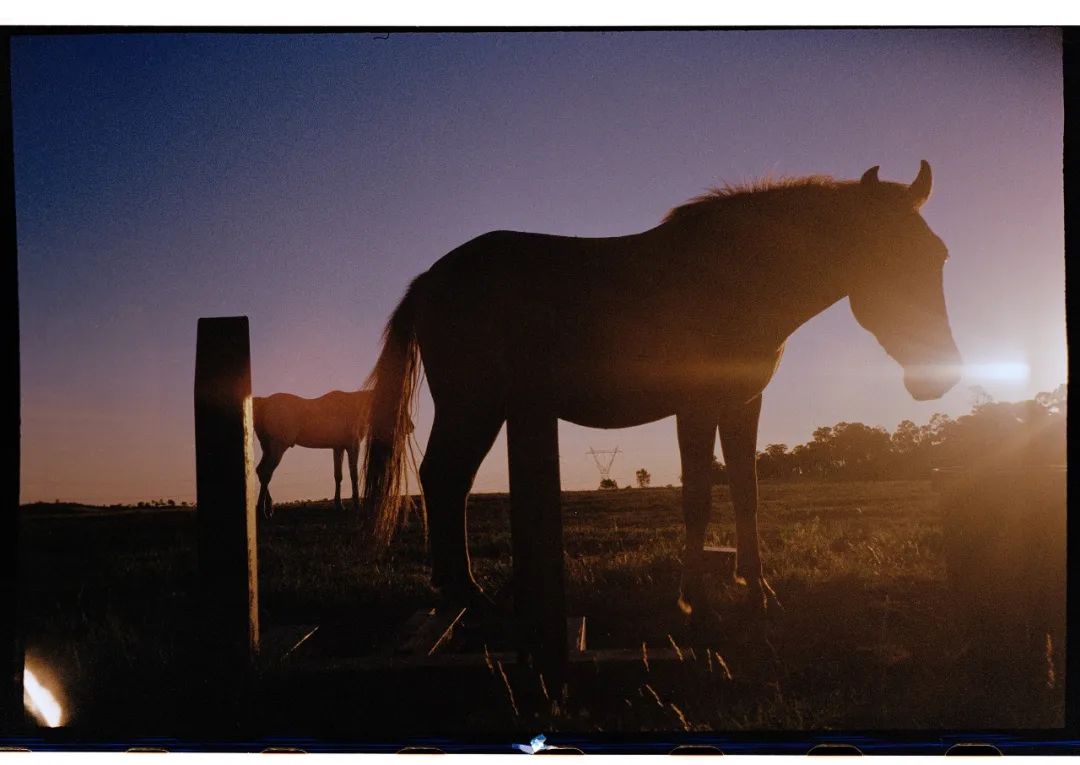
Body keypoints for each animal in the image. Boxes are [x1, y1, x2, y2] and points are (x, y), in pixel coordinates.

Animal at [362, 160, 963, 613]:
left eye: (938, 257)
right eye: (886, 258)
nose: (941, 376)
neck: (736, 277)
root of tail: (430, 279)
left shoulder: (743, 404)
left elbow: (746, 493)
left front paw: (758, 589)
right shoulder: (694, 408)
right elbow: (697, 496)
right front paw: (692, 597)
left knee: (449, 481)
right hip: (473, 406)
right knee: (444, 478)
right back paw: (464, 593)